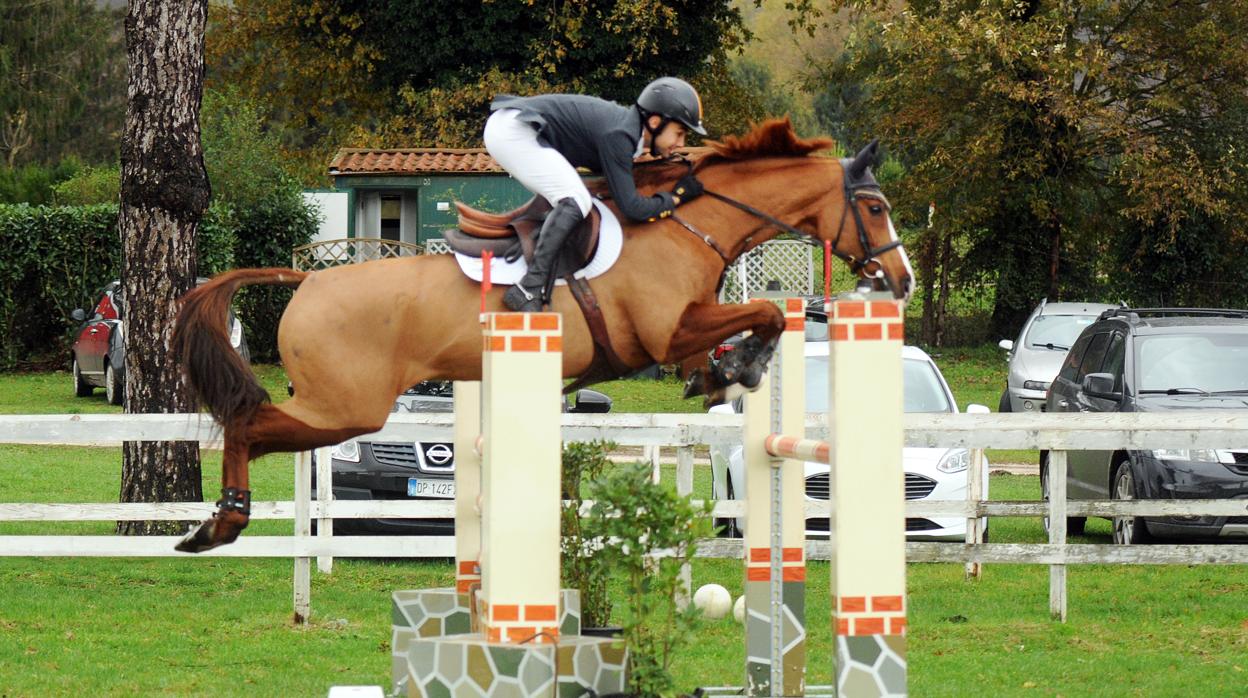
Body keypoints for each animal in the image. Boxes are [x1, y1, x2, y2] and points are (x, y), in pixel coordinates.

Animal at [170, 119, 913, 551]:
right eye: (876, 207)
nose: (901, 280)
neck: (684, 224)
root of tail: (308, 281)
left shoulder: (681, 329)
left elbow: (751, 326)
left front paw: (723, 373)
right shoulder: (663, 334)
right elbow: (767, 315)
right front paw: (743, 367)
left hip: (339, 406)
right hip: (343, 407)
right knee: (245, 422)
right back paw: (220, 523)